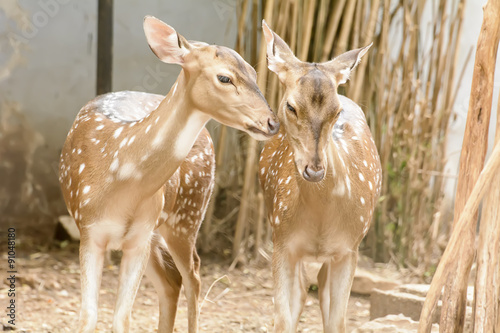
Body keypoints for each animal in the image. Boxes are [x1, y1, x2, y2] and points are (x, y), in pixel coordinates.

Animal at [58, 16, 280, 332]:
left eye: (253, 71)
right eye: (225, 78)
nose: (272, 122)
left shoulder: (138, 236)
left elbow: (122, 318)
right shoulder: (89, 230)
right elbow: (88, 316)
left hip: (186, 216)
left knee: (193, 275)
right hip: (165, 227)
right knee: (172, 281)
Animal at [258, 22, 382, 330]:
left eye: (336, 110)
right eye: (291, 106)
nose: (314, 169)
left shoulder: (350, 248)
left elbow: (338, 321)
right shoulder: (282, 241)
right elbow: (282, 320)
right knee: (304, 290)